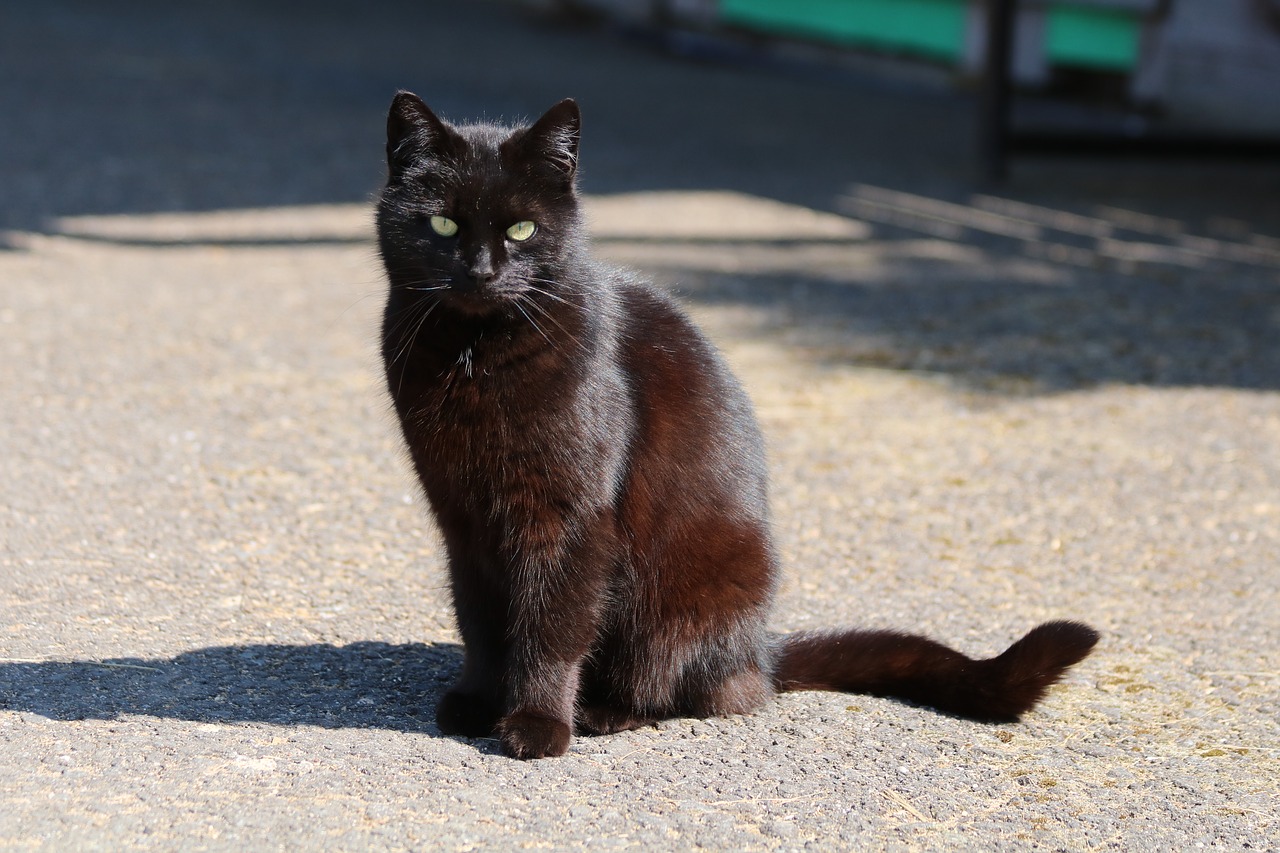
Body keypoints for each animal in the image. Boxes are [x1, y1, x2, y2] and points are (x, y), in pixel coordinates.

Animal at [373, 92, 1100, 758]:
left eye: (522, 230)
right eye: (442, 224)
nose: (481, 271)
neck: (473, 358)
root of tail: (760, 652)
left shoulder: (567, 517)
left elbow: (551, 624)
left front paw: (536, 724)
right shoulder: (463, 518)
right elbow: (481, 622)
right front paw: (477, 701)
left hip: (685, 600)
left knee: (687, 688)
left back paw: (602, 710)